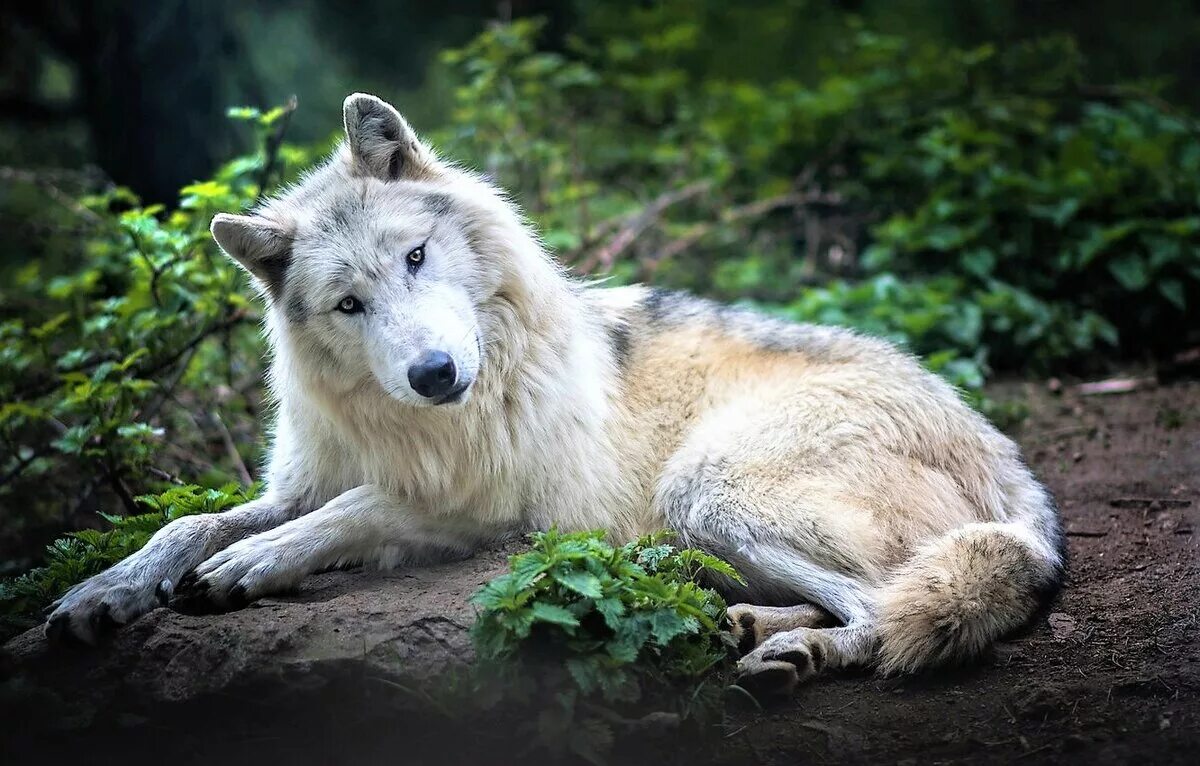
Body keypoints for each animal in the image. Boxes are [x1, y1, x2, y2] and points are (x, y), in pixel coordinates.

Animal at [42, 94, 1065, 696]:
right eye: (349, 304)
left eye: (417, 257)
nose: (434, 374)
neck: (422, 424)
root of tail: (1010, 461)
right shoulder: (302, 480)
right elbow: (189, 523)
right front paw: (102, 593)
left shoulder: (505, 509)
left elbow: (356, 510)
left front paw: (251, 566)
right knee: (856, 599)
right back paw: (750, 627)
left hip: (706, 487)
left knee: (886, 608)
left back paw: (793, 650)